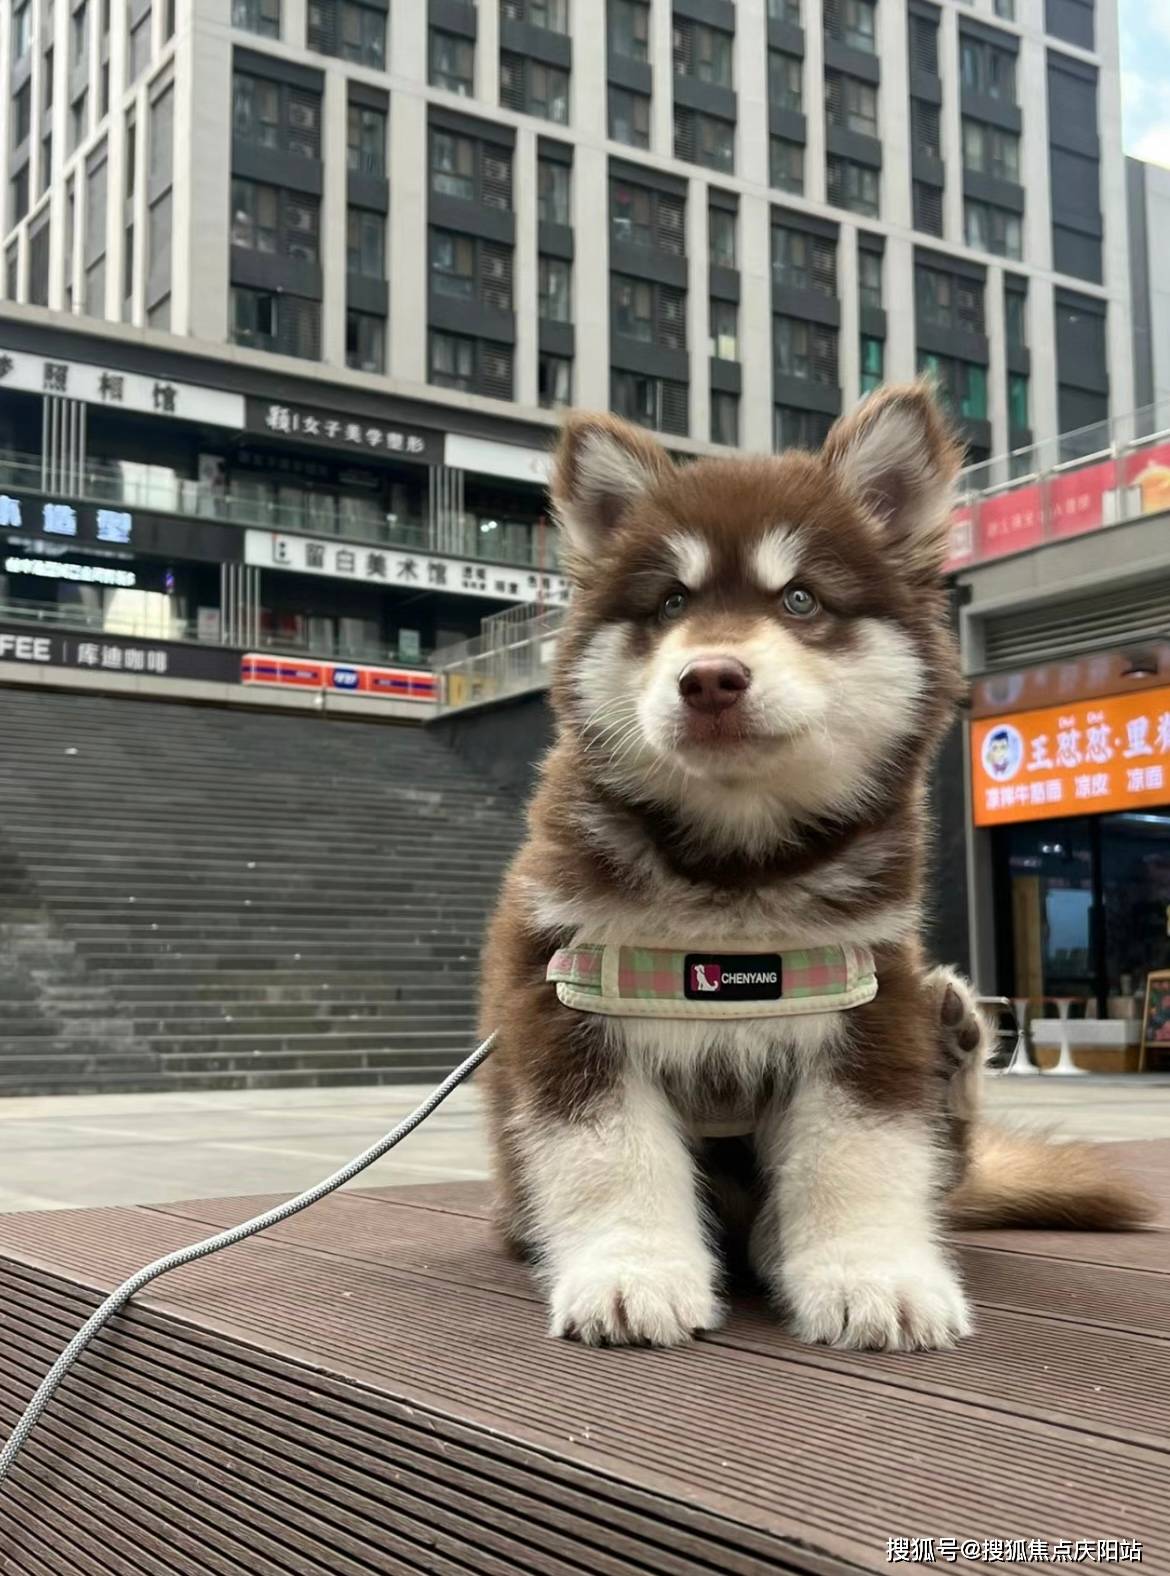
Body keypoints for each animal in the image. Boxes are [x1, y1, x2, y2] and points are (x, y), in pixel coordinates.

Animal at [482, 384, 1154, 1355]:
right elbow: (607, 1156)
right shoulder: (568, 995)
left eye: (800, 598)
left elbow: (860, 1154)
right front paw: (631, 1272)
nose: (710, 677)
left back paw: (953, 1042)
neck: (735, 872)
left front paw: (872, 1274)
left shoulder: (864, 1001)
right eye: (670, 603)